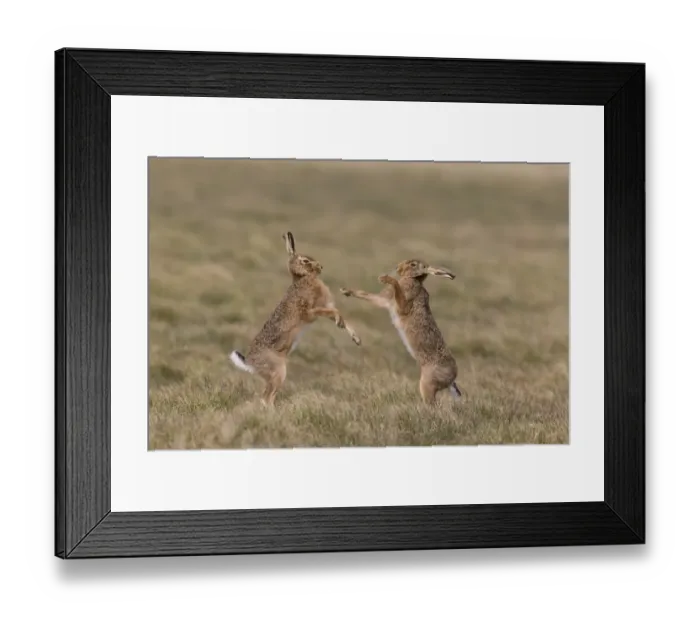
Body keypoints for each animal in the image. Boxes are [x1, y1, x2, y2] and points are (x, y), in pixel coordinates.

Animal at [230, 231, 361, 406]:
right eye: (305, 261)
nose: (321, 267)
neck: (303, 278)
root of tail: (250, 363)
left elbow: (338, 314)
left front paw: (356, 338)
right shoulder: (309, 311)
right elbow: (332, 311)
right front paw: (340, 322)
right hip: (278, 371)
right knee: (266, 398)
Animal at [340, 258, 460, 405]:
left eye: (413, 264)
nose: (398, 268)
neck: (413, 279)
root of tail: (452, 377)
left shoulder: (403, 305)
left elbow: (398, 293)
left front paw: (385, 279)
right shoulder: (384, 299)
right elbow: (367, 295)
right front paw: (345, 291)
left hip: (427, 383)